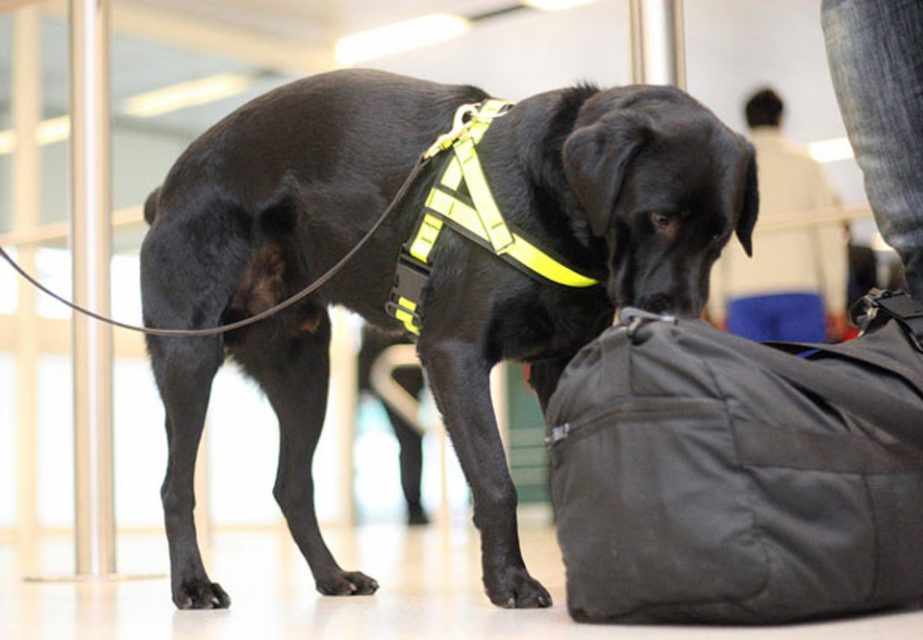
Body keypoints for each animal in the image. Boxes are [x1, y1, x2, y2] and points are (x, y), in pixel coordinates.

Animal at [139, 69, 756, 608]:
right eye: (661, 219)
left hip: (305, 372)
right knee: (174, 486)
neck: (547, 194)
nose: (679, 318)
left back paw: (332, 577)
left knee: (291, 486)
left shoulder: (555, 365)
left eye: (721, 236)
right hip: (190, 356)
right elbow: (496, 480)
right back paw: (193, 585)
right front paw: (509, 582)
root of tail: (166, 190)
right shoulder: (452, 356)